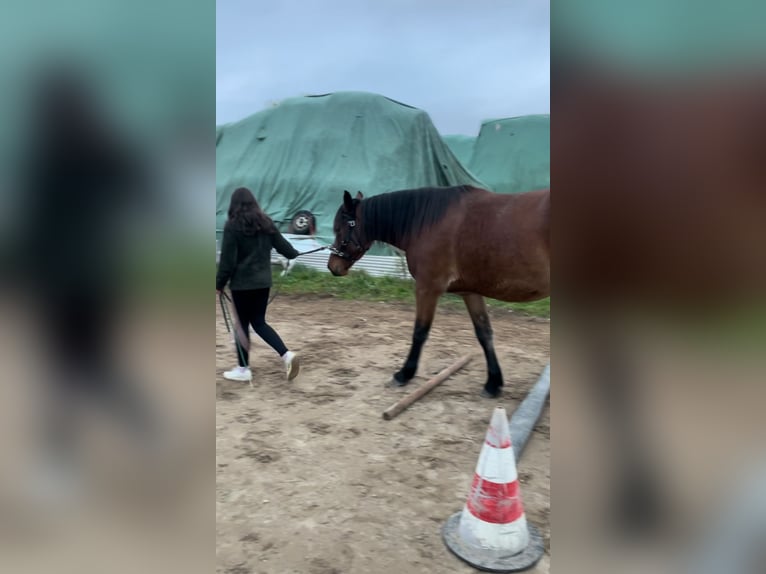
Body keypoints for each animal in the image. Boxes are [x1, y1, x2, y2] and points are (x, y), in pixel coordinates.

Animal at [328, 187, 548, 398]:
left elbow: (420, 332)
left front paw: (404, 373)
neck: (426, 222)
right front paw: (493, 383)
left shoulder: (427, 288)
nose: (333, 266)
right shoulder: (470, 292)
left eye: (339, 228)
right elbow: (484, 333)